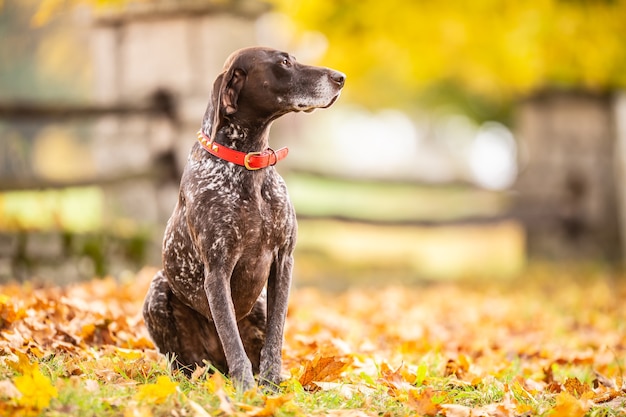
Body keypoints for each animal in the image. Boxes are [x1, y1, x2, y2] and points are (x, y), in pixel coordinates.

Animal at [143, 47, 346, 392]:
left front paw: (272, 384)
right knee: (186, 363)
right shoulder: (217, 270)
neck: (248, 164)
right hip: (158, 292)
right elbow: (231, 337)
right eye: (283, 62)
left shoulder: (283, 262)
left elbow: (276, 336)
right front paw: (247, 389)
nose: (340, 77)